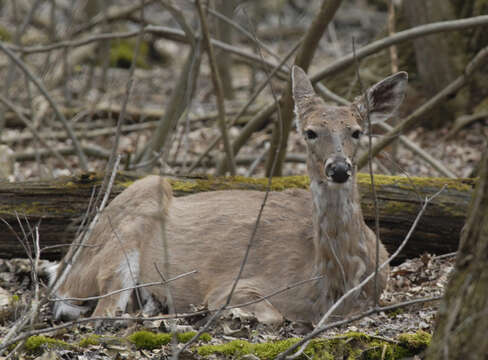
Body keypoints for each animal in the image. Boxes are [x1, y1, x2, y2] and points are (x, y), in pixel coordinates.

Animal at [49, 66, 408, 324]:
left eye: (357, 132)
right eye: (310, 132)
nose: (338, 168)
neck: (334, 289)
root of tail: (69, 261)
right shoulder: (233, 285)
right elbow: (272, 315)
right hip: (121, 233)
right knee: (94, 310)